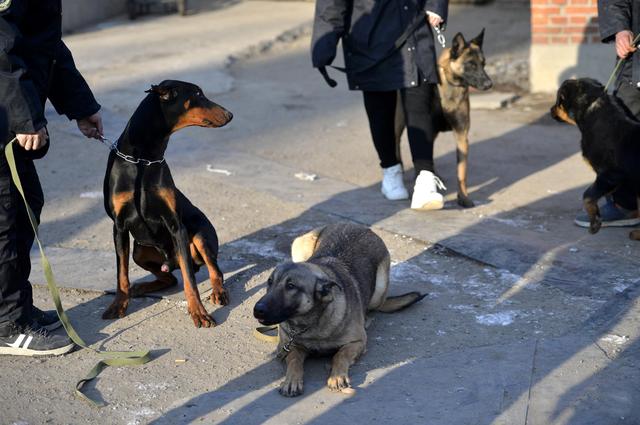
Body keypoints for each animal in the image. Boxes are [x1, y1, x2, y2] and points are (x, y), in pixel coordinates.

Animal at [104, 79, 234, 326]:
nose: (230, 114)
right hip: (139, 251)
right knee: (169, 278)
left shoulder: (176, 225)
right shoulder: (119, 226)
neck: (142, 160)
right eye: (197, 94)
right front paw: (118, 305)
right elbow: (121, 274)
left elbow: (190, 280)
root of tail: (169, 260)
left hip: (200, 236)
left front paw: (198, 312)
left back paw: (218, 292)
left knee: (212, 271)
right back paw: (140, 288)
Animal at [252, 220, 428, 396]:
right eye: (269, 282)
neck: (311, 324)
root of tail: (358, 226)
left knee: (377, 305)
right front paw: (292, 380)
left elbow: (340, 355)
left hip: (379, 289)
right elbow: (294, 359)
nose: (257, 310)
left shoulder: (357, 342)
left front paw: (337, 376)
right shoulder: (288, 346)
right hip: (299, 245)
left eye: (291, 286)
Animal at [392, 28, 492, 207]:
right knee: (396, 143)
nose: (489, 84)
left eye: (483, 63)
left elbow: (461, 172)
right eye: (471, 64)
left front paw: (463, 198)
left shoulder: (461, 135)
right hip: (400, 124)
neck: (450, 87)